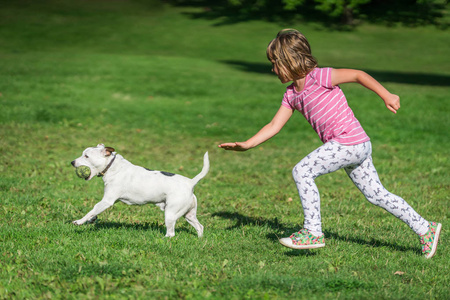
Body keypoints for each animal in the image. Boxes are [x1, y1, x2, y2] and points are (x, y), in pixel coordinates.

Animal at [71, 144, 210, 238]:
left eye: (86, 156)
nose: (72, 162)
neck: (112, 166)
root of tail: (190, 182)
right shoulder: (111, 200)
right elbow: (94, 211)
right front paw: (91, 219)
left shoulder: (107, 201)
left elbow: (92, 210)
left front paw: (79, 221)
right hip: (189, 214)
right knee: (200, 227)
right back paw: (200, 239)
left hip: (170, 213)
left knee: (171, 233)